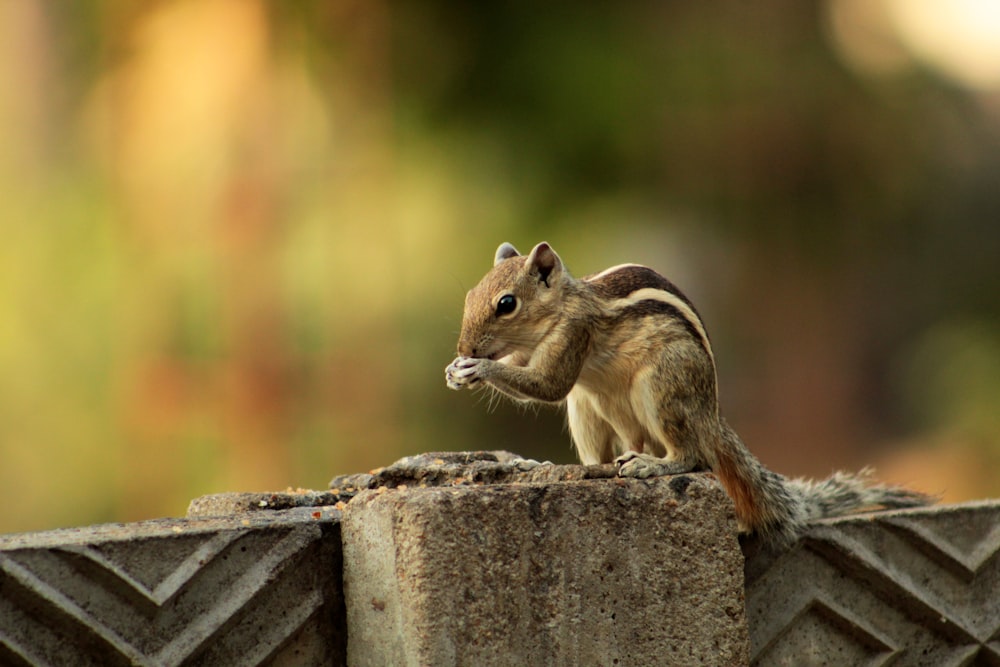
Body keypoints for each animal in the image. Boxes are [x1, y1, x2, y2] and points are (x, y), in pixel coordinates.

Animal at [446, 243, 928, 544]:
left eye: (506, 304)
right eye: (469, 297)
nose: (464, 348)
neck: (563, 304)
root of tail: (711, 417)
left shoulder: (574, 332)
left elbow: (548, 384)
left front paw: (477, 368)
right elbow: (529, 373)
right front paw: (458, 371)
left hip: (663, 387)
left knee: (691, 456)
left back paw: (652, 466)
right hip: (589, 409)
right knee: (608, 452)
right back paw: (567, 466)